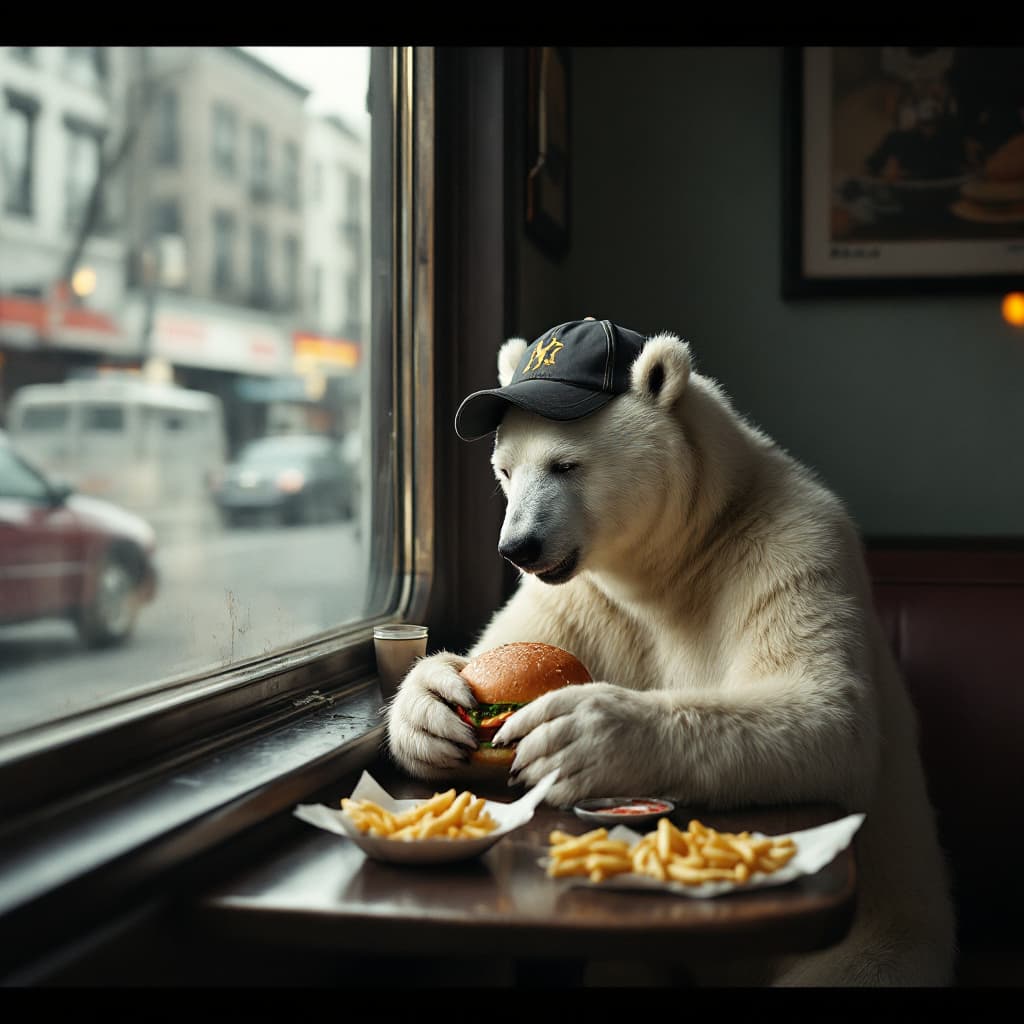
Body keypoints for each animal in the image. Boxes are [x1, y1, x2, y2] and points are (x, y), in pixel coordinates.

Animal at [385, 318, 956, 987]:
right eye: (504, 469)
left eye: (565, 464)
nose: (517, 545)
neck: (676, 557)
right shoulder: (584, 598)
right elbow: (506, 642)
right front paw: (430, 706)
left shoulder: (788, 550)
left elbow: (826, 714)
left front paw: (585, 735)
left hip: (884, 933)